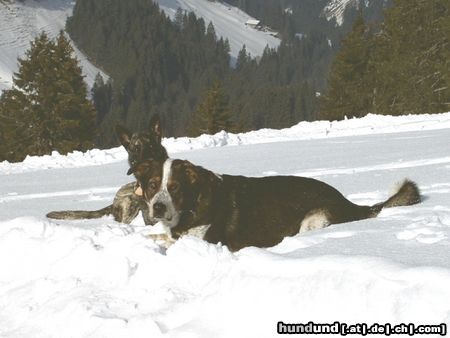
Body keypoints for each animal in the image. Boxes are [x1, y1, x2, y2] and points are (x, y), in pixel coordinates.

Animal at [131, 158, 422, 251]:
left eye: (175, 187)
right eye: (152, 185)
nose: (158, 207)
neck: (193, 203)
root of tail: (351, 204)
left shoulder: (209, 243)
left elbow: (165, 241)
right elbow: (157, 236)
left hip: (314, 218)